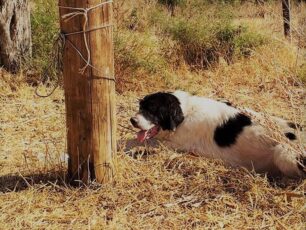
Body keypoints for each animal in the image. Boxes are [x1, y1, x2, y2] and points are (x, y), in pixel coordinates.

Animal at [130, 90, 304, 177]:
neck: (186, 112)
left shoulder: (178, 144)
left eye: (152, 110)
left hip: (283, 153)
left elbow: (149, 142)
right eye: (140, 106)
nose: (132, 120)